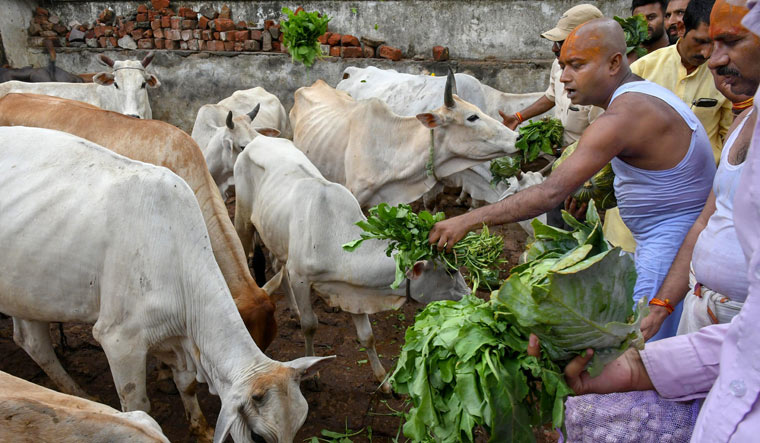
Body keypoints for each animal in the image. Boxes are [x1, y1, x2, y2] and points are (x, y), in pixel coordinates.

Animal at [233, 136, 470, 392]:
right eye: (449, 271)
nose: (469, 295)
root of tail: (258, 138)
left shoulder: (352, 290)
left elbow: (367, 335)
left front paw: (383, 380)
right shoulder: (300, 279)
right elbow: (310, 324)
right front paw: (313, 375)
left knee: (278, 267)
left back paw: (293, 310)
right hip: (243, 221)